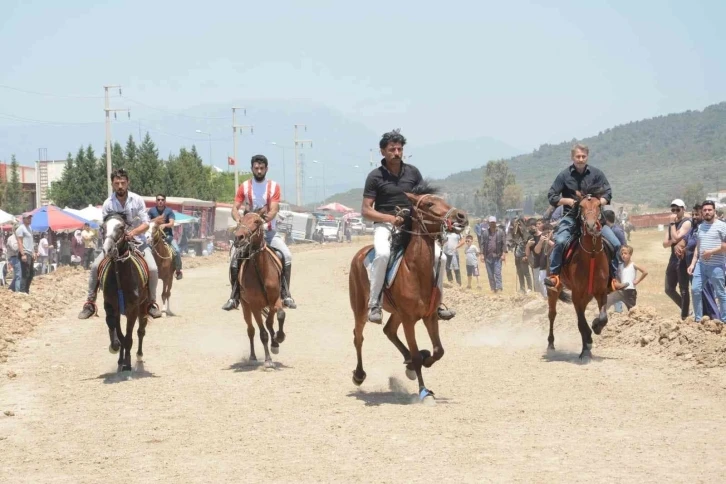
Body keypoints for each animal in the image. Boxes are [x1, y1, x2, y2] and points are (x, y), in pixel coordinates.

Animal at [100, 214, 150, 372]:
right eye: (103, 227)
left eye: (121, 227)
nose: (108, 249)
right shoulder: (112, 307)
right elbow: (118, 332)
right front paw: (116, 349)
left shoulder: (133, 310)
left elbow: (128, 337)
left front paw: (128, 363)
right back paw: (121, 360)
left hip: (144, 306)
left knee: (141, 331)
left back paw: (138, 358)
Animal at [236, 206, 288, 368]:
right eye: (240, 220)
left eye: (257, 221)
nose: (239, 238)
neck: (261, 271)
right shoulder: (254, 305)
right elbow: (262, 332)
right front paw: (268, 360)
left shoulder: (275, 299)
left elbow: (279, 316)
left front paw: (279, 338)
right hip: (245, 306)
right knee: (251, 330)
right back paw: (253, 356)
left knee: (269, 323)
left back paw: (275, 342)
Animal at [348, 183, 472, 402]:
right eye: (429, 203)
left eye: (443, 199)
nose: (461, 216)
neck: (415, 270)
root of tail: (360, 254)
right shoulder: (409, 319)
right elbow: (416, 354)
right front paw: (424, 391)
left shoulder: (429, 316)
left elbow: (438, 351)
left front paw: (425, 360)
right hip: (361, 308)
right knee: (358, 336)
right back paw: (359, 375)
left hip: (396, 312)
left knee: (388, 331)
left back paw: (409, 364)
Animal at [548, 191, 612, 362]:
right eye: (581, 206)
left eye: (599, 205)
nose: (591, 225)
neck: (591, 255)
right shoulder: (576, 295)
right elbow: (581, 324)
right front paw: (587, 343)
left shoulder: (601, 292)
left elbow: (603, 317)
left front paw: (596, 326)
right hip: (554, 289)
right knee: (552, 314)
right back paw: (551, 344)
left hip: (587, 296)